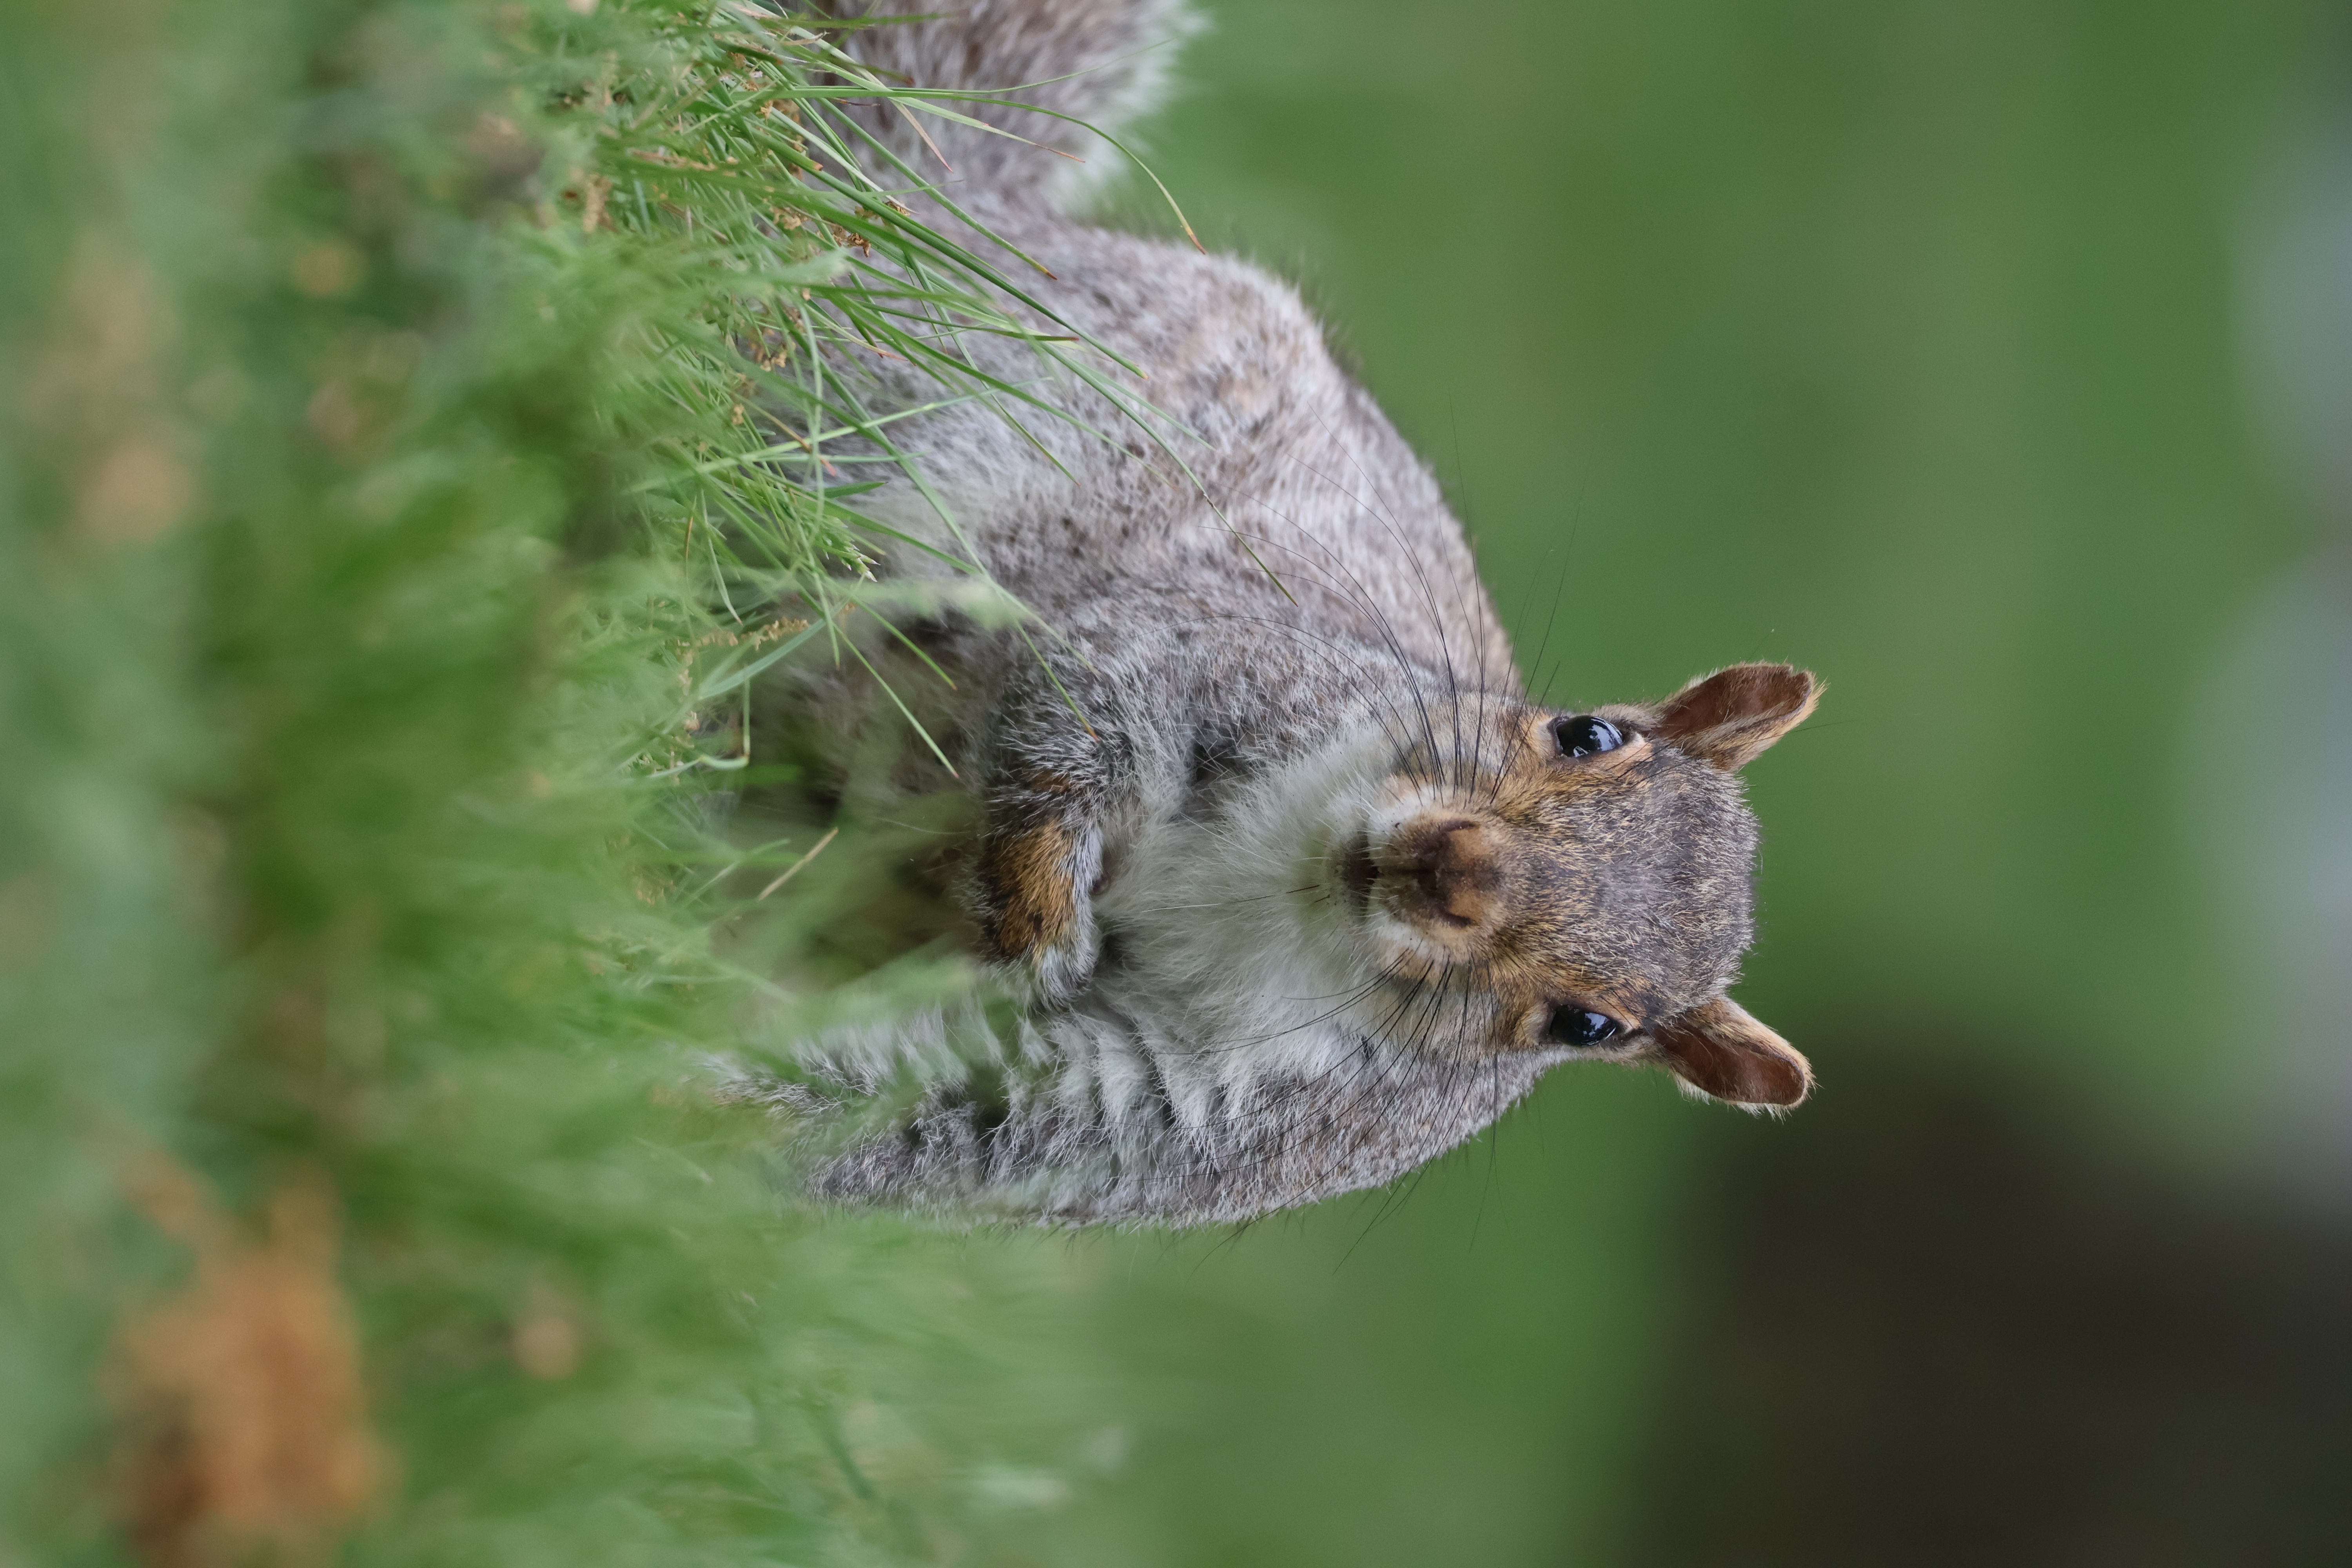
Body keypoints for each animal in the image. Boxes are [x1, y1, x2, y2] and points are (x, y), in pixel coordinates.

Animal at [745, 0, 1823, 1226]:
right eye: (1587, 733)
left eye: (1590, 1025)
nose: (1454, 868)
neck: (1287, 887)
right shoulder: (1220, 660)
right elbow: (1080, 725)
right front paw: (1035, 907)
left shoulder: (1203, 1117)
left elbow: (961, 1118)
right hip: (964, 401)